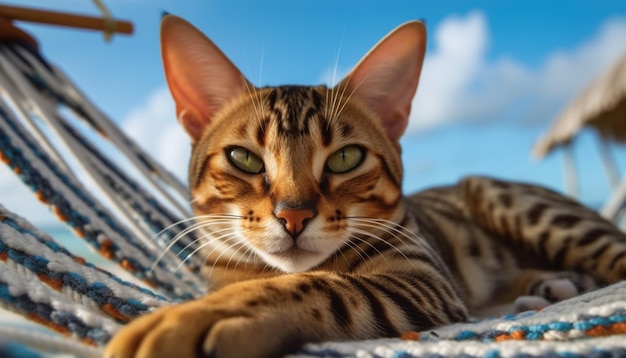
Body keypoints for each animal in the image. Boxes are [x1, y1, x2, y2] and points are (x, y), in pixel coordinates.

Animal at [103, 14, 624, 358]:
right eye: (244, 158)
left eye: (346, 157)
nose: (293, 215)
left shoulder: (425, 281)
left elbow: (323, 286)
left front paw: (200, 316)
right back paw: (546, 287)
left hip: (511, 200)